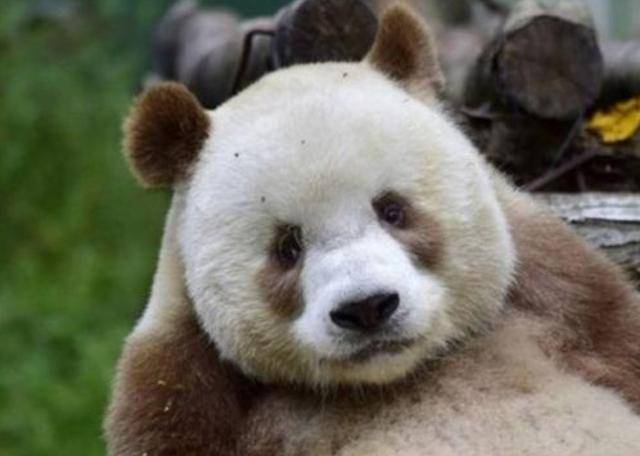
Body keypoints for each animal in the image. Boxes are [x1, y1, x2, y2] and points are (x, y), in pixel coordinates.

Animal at [105, 5, 640, 455]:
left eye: (393, 210)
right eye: (287, 246)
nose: (367, 308)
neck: (393, 377)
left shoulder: (564, 296)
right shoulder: (182, 385)